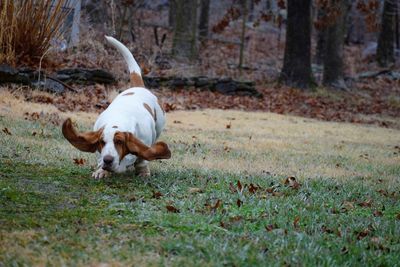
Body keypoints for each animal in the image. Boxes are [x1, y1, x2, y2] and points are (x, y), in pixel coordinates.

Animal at [61, 34, 171, 179]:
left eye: (119, 142)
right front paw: (101, 172)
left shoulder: (144, 143)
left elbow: (142, 157)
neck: (118, 119)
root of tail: (138, 87)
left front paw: (143, 172)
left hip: (158, 127)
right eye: (102, 142)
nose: (108, 160)